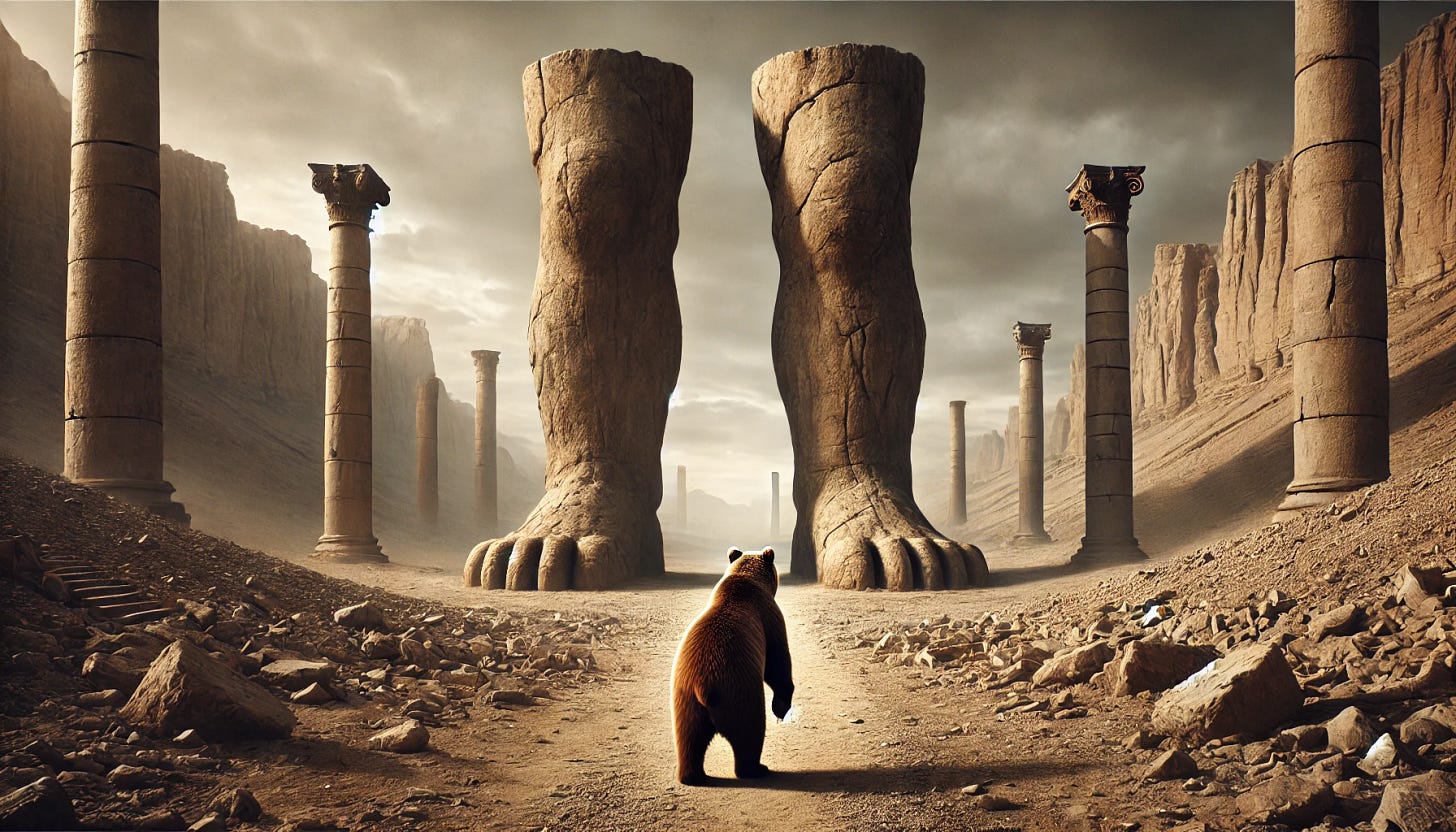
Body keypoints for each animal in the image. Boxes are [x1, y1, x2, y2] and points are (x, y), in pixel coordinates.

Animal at [669, 547, 797, 786]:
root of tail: (703, 687)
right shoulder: (769, 619)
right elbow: (778, 664)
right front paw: (781, 707)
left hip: (686, 699)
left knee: (689, 740)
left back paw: (692, 775)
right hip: (738, 689)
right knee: (749, 731)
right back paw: (756, 768)